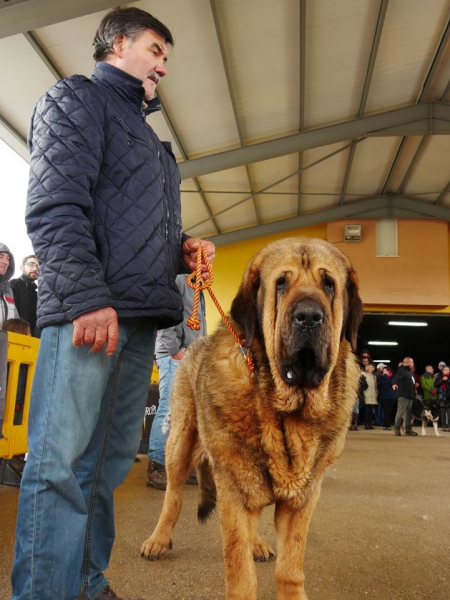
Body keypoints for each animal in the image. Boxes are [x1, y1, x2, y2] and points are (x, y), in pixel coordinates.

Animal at [141, 238, 362, 600]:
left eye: (328, 284)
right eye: (281, 283)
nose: (308, 316)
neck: (285, 411)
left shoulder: (303, 498)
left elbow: (291, 564)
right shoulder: (233, 488)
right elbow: (238, 565)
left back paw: (257, 543)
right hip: (180, 442)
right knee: (172, 497)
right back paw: (158, 539)